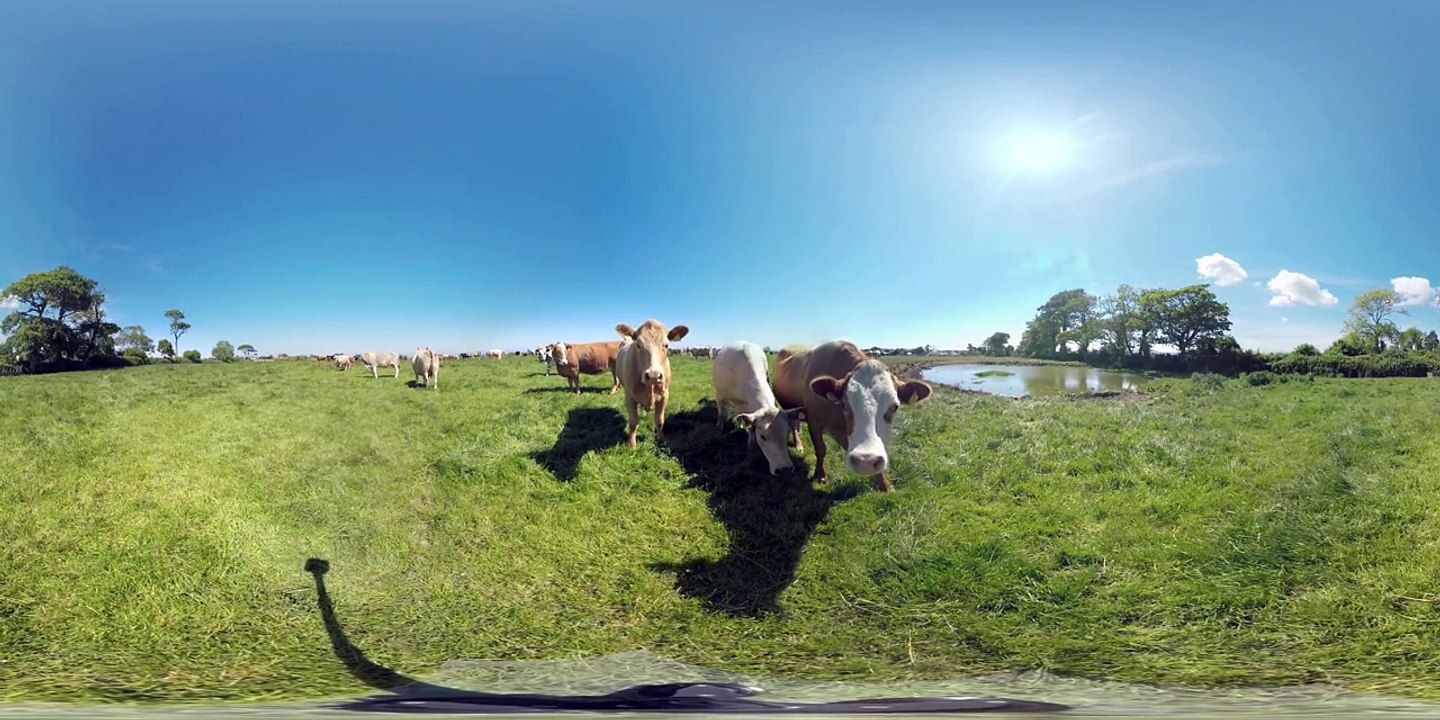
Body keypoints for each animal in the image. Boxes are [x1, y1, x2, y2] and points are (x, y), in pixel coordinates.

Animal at [615, 320, 689, 448]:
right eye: (638, 345)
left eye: (666, 345)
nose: (654, 375)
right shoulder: (629, 397)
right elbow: (633, 422)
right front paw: (632, 445)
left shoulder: (664, 395)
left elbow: (659, 421)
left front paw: (661, 440)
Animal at [712, 341, 802, 475]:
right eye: (763, 436)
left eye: (787, 434)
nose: (784, 470)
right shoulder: (720, 396)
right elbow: (722, 415)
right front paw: (720, 428)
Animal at [772, 341, 932, 492]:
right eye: (844, 405)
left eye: (895, 407)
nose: (866, 461)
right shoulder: (814, 422)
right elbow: (821, 449)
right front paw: (820, 475)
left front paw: (884, 484)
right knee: (793, 424)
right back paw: (798, 444)